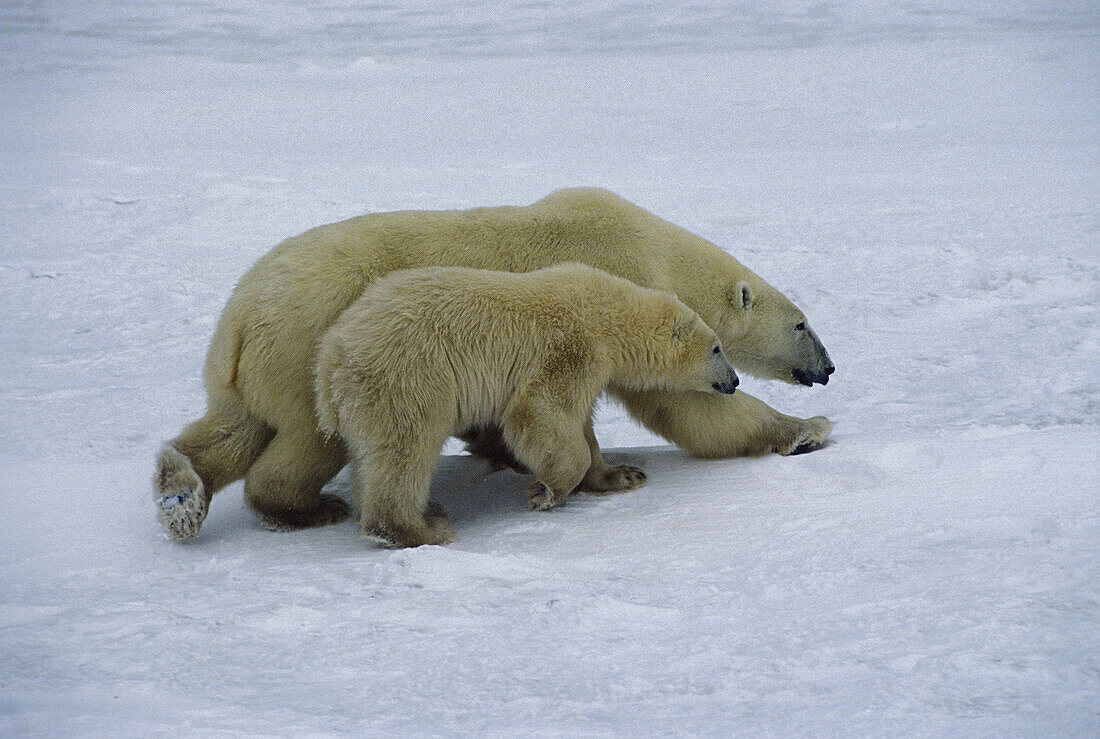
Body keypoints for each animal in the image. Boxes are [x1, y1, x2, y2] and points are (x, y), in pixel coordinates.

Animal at [312, 262, 739, 545]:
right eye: (717, 348)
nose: (734, 382)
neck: (605, 311)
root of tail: (331, 355)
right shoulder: (569, 349)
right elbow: (540, 413)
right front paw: (544, 493)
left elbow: (581, 425)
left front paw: (624, 475)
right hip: (408, 378)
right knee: (406, 451)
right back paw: (422, 528)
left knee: (373, 457)